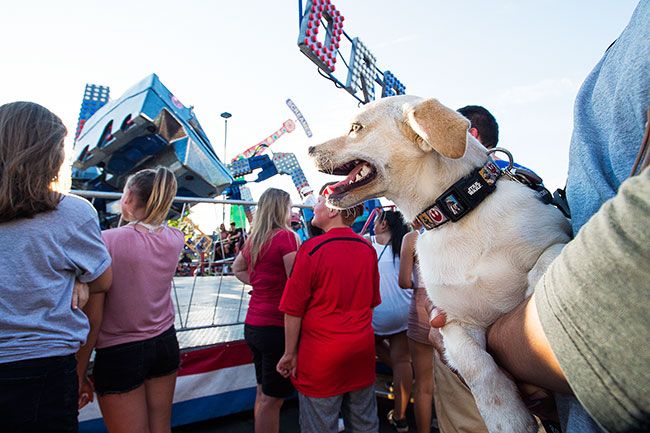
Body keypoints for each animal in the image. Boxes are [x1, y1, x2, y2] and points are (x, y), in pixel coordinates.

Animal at [308, 95, 568, 432]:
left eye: (356, 128)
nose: (309, 149)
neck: (455, 209)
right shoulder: (452, 323)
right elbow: (478, 368)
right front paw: (506, 419)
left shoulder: (558, 235)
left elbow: (547, 259)